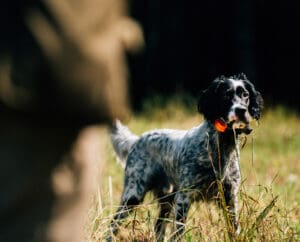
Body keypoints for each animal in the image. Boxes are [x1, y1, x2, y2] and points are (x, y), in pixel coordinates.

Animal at [106, 73, 264, 240]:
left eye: (245, 95)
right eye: (226, 95)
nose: (241, 110)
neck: (220, 147)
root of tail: (137, 140)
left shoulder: (230, 197)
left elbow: (234, 229)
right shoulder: (184, 197)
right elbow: (178, 233)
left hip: (167, 199)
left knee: (158, 227)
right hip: (133, 194)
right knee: (113, 225)